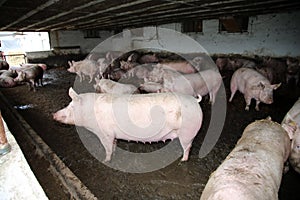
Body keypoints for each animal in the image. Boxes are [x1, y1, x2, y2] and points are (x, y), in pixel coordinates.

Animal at [53, 88, 204, 162]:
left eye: (71, 106)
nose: (54, 115)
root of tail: (195, 101)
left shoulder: (105, 133)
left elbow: (107, 147)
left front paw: (106, 160)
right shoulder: (112, 134)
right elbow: (113, 144)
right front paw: (113, 153)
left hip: (187, 131)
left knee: (188, 147)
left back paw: (183, 160)